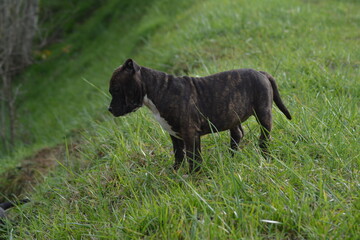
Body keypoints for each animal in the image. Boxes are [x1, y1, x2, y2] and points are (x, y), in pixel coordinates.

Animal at [108, 59, 292, 173]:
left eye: (115, 90)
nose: (109, 109)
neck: (156, 90)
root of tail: (261, 72)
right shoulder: (176, 135)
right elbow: (180, 154)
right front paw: (175, 172)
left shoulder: (189, 133)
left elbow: (192, 156)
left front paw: (192, 175)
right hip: (233, 115)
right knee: (237, 134)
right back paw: (232, 157)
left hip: (263, 113)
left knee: (264, 137)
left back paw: (265, 155)